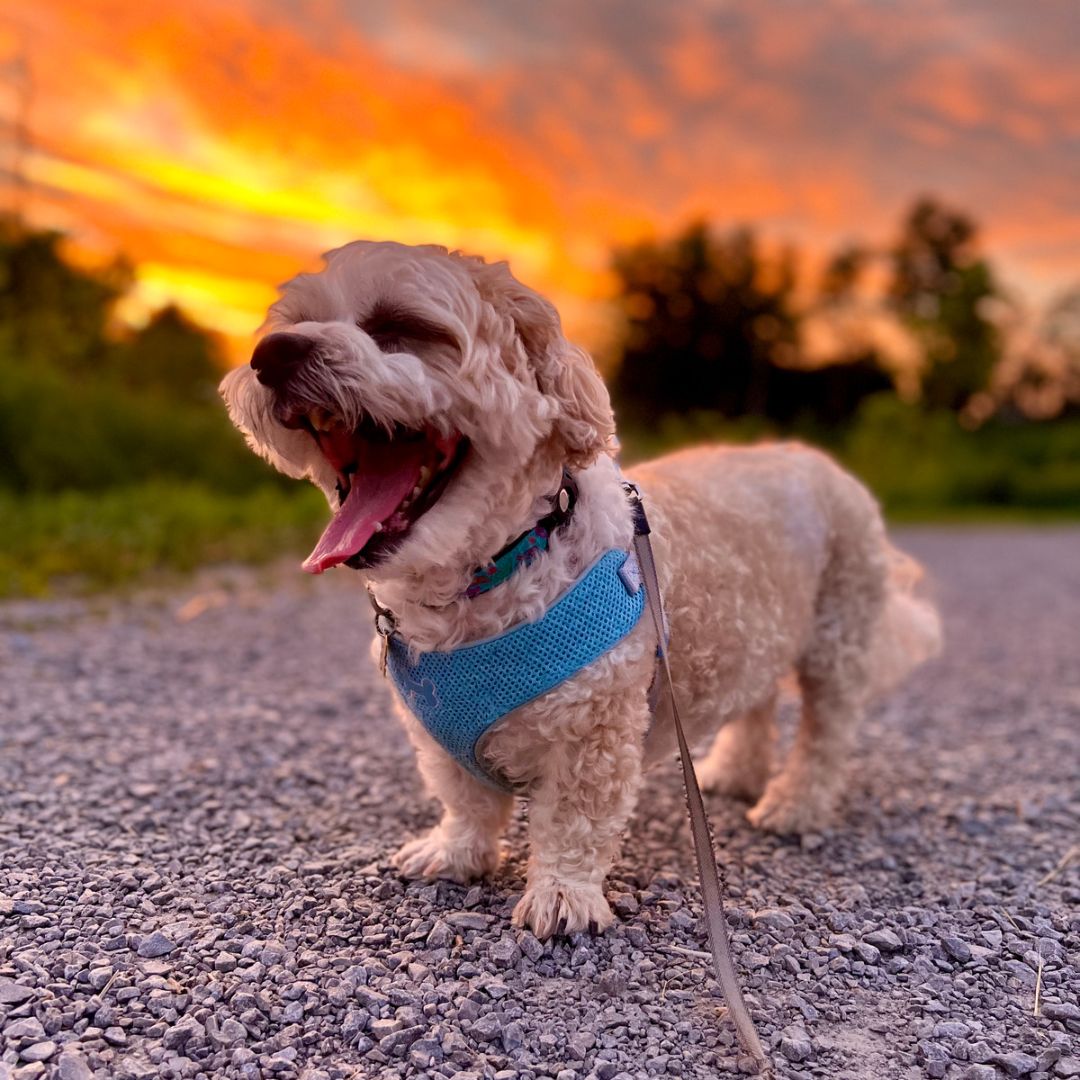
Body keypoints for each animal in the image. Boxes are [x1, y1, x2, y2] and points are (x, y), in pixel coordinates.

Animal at [221, 240, 946, 941]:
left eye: (402, 327)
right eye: (292, 323)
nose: (274, 355)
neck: (497, 569)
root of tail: (817, 459)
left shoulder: (594, 728)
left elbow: (575, 818)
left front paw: (563, 894)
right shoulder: (435, 732)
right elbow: (465, 798)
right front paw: (455, 851)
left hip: (837, 636)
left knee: (826, 731)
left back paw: (795, 804)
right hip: (754, 630)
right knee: (758, 701)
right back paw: (734, 773)